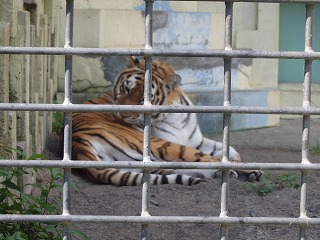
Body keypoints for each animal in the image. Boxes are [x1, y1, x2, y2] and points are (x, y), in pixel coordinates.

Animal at [71, 57, 262, 187]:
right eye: (126, 88)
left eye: (143, 99)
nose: (122, 116)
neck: (175, 111)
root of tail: (77, 142)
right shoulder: (175, 141)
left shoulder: (196, 140)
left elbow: (226, 148)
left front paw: (232, 154)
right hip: (162, 145)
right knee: (204, 161)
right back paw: (249, 172)